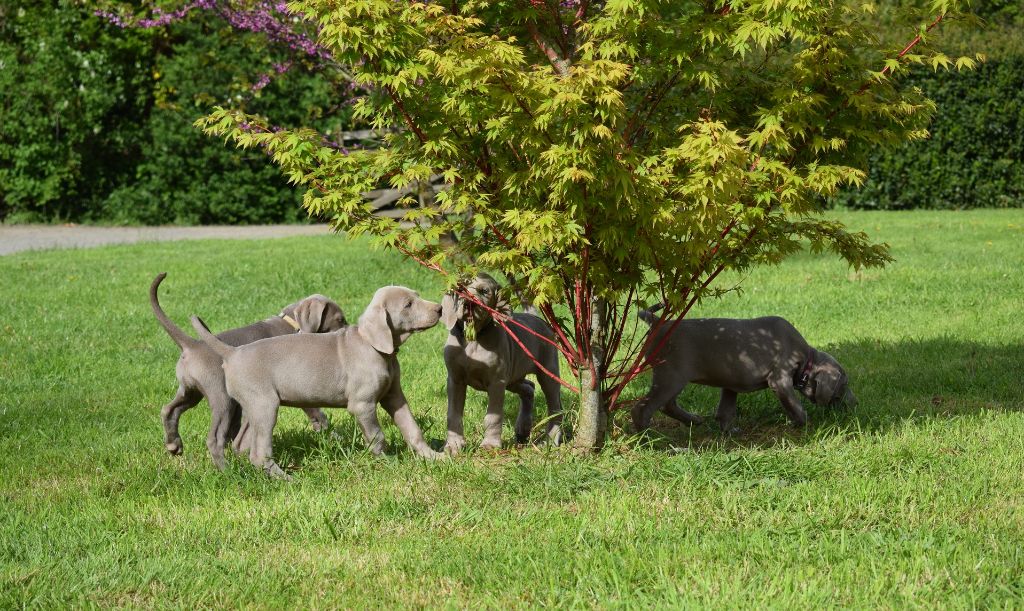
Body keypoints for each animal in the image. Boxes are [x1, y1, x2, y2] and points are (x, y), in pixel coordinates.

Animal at [149, 272, 348, 466]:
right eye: (339, 320)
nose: (347, 332)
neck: (292, 325)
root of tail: (192, 346)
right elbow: (315, 411)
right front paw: (332, 434)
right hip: (221, 396)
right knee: (214, 438)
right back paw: (227, 469)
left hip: (190, 390)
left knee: (169, 409)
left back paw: (173, 444)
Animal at [440, 272, 565, 452]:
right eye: (460, 288)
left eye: (484, 291)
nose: (469, 302)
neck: (473, 338)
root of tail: (535, 317)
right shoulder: (455, 380)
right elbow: (453, 414)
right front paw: (453, 444)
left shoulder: (496, 382)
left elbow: (493, 416)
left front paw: (490, 444)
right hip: (513, 377)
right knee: (529, 388)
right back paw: (522, 430)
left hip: (547, 371)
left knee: (555, 407)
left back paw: (551, 439)